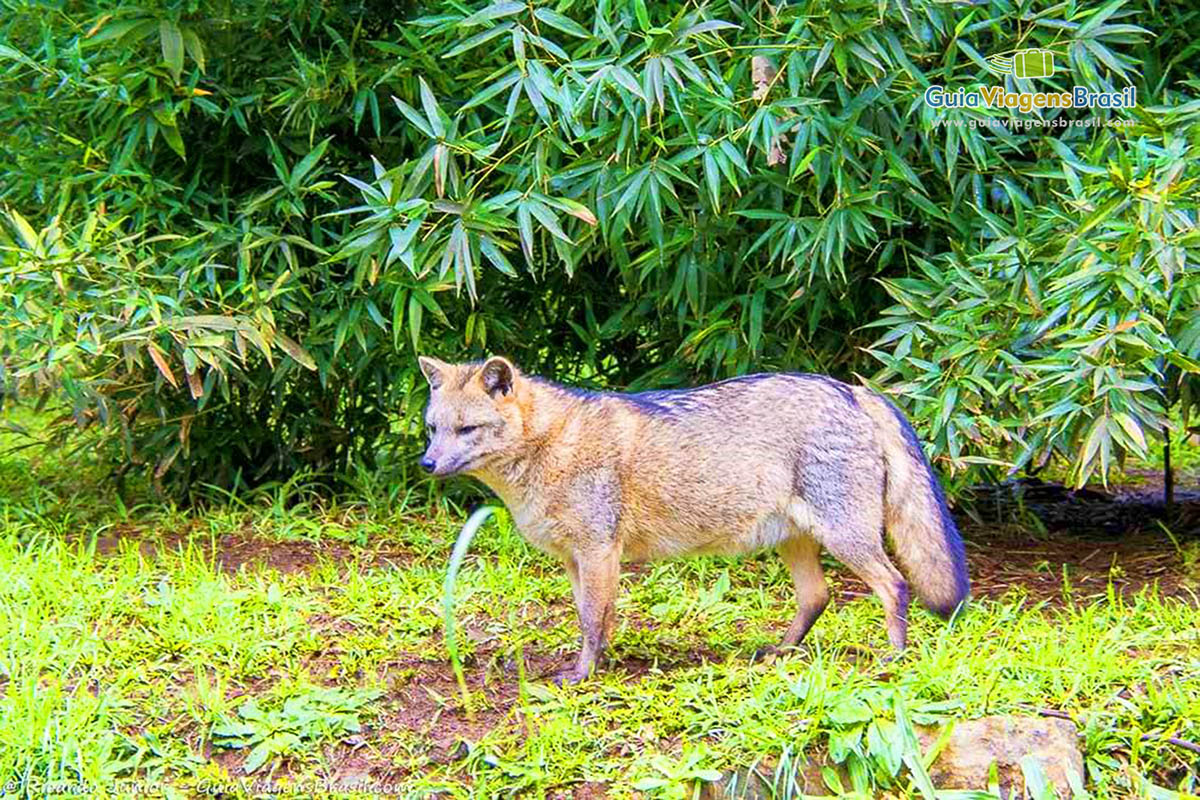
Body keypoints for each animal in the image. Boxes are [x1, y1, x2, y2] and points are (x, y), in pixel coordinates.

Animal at [417, 355, 969, 681]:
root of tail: (852, 388)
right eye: (432, 429)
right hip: (797, 543)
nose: (427, 464)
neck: (553, 446)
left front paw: (583, 675)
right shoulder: (577, 560)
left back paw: (895, 659)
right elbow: (593, 618)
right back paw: (781, 652)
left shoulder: (598, 552)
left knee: (895, 585)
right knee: (818, 597)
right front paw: (600, 663)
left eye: (467, 429)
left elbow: (594, 620)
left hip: (847, 539)